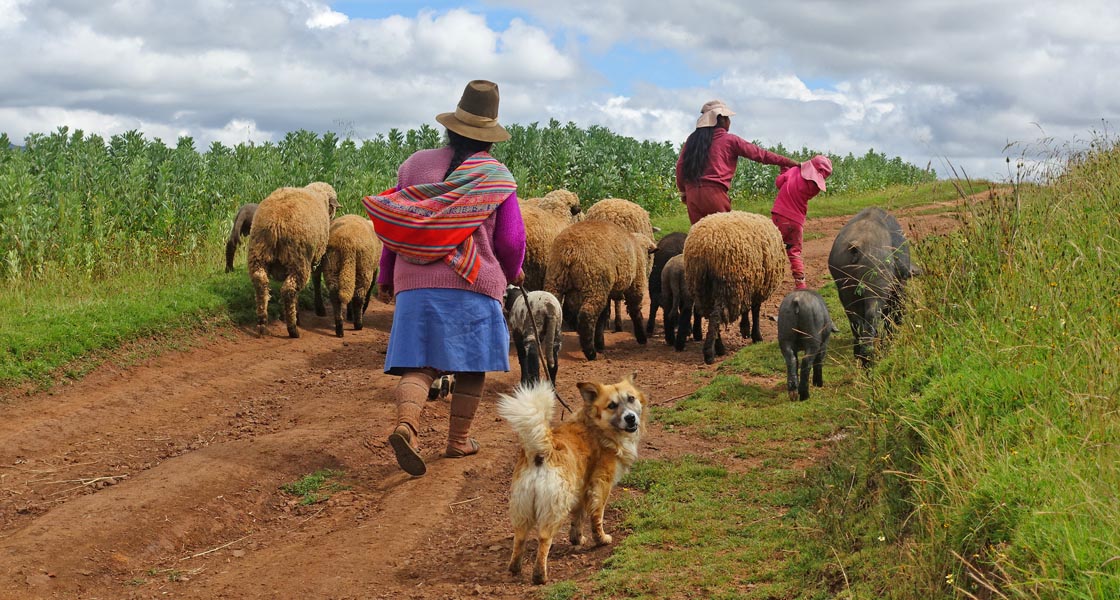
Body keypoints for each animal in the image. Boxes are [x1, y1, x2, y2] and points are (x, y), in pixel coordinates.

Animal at [249, 180, 340, 338]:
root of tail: (276, 221)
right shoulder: (317, 256)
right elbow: (316, 279)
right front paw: (319, 309)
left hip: (258, 254)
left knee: (261, 282)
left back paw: (262, 322)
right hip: (299, 260)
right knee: (289, 290)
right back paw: (293, 328)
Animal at [499, 371, 649, 582]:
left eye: (631, 399)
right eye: (611, 405)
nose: (630, 418)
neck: (596, 426)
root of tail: (542, 451)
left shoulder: (581, 488)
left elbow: (579, 517)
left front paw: (577, 538)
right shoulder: (600, 485)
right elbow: (596, 516)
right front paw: (601, 539)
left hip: (523, 506)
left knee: (519, 537)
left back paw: (515, 568)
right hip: (556, 507)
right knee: (544, 539)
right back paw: (540, 575)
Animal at [544, 220, 654, 360]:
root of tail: (569, 250)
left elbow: (603, 316)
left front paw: (600, 343)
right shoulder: (635, 283)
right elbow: (635, 311)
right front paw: (642, 338)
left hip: (556, 281)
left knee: (559, 312)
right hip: (595, 284)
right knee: (587, 315)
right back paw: (590, 352)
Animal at [680, 210, 788, 364]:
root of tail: (705, 246)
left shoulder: (749, 283)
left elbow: (748, 308)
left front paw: (745, 329)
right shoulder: (756, 287)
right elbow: (755, 310)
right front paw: (756, 336)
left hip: (701, 286)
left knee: (710, 315)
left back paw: (716, 348)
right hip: (726, 284)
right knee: (716, 317)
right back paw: (712, 353)